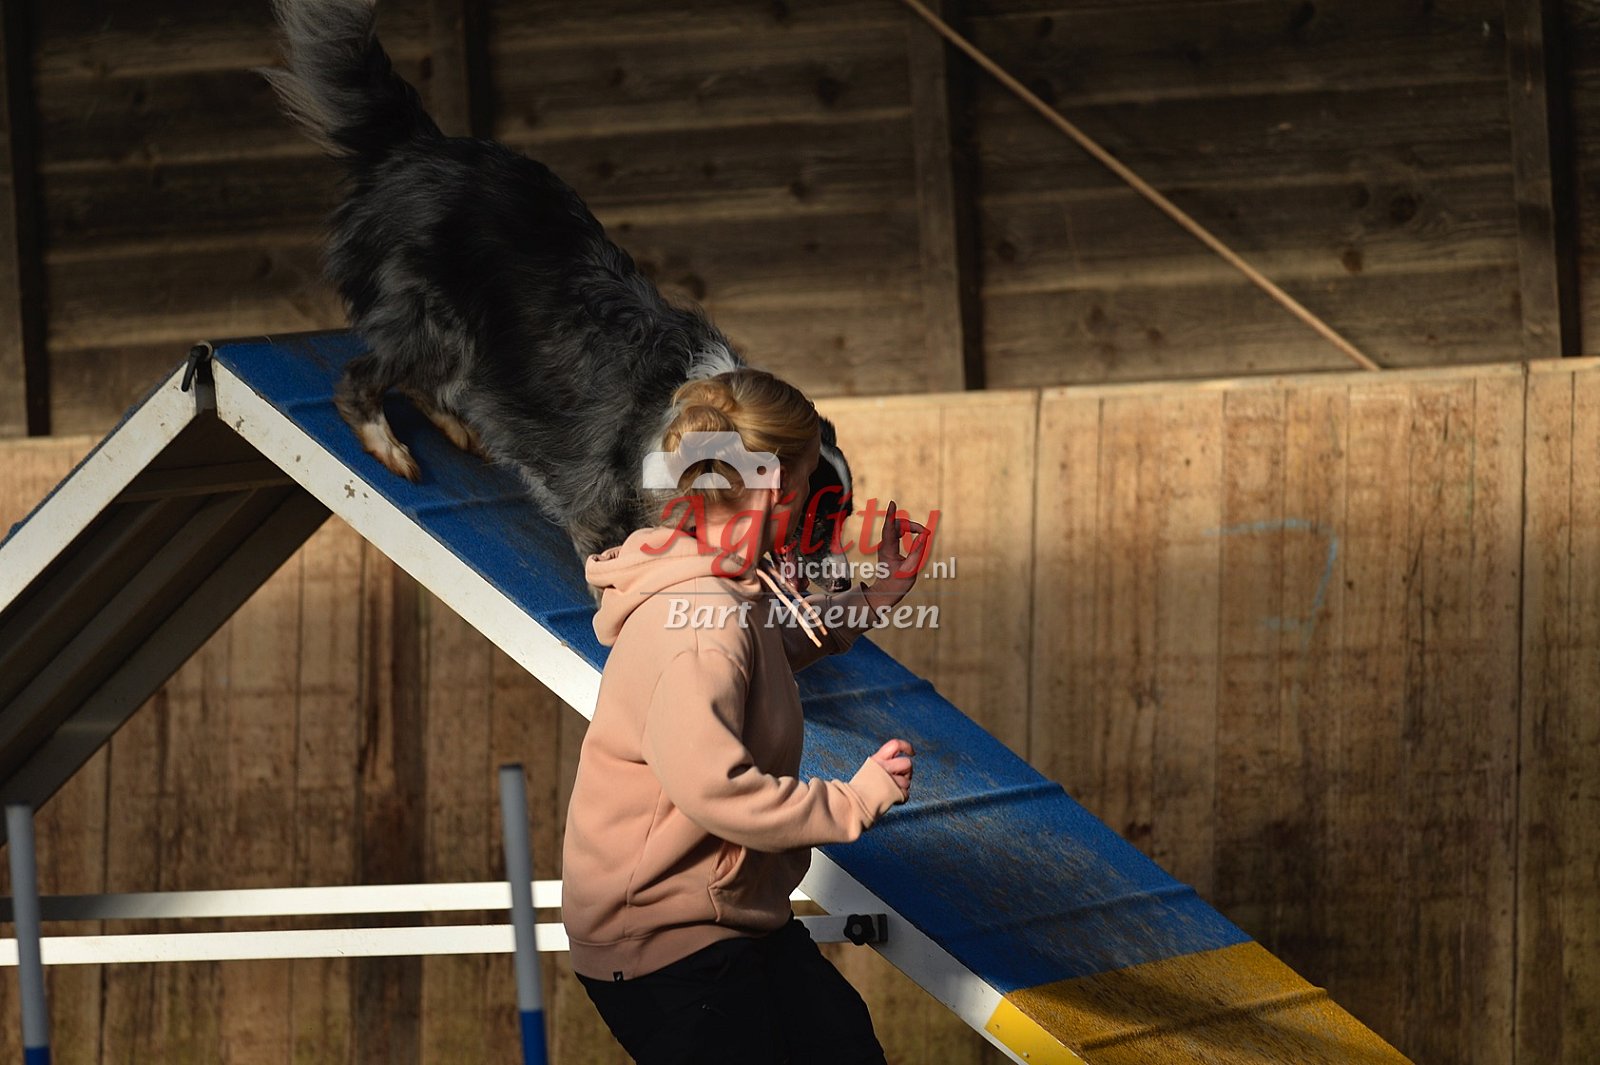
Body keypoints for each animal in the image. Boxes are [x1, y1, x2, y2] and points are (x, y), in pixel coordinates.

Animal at [263, 0, 854, 588]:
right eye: (815, 517)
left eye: (842, 515)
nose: (848, 581)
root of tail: (424, 145)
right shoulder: (599, 509)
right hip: (440, 324)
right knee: (362, 376)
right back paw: (389, 446)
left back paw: (460, 427)